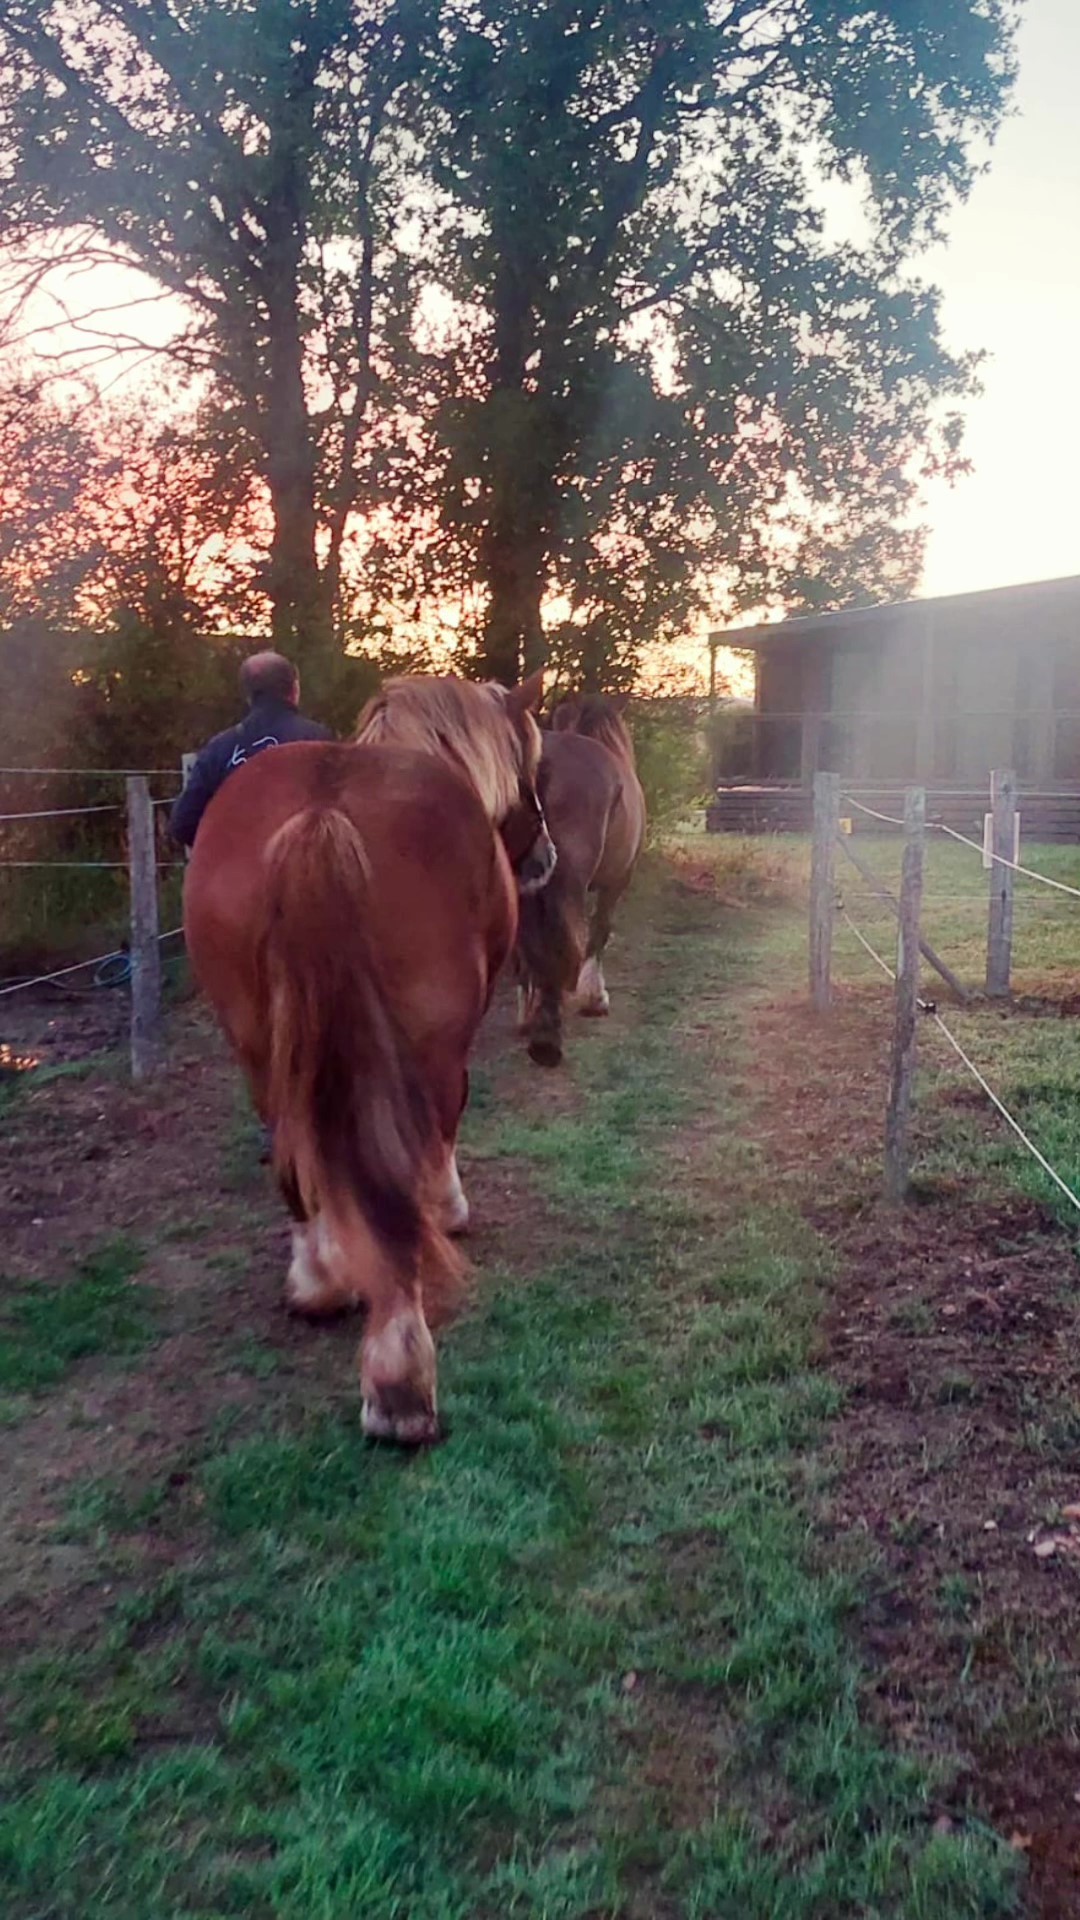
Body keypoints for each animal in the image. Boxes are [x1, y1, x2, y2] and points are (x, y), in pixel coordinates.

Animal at [183, 675, 549, 1443]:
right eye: (529, 767)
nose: (542, 860)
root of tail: (324, 813)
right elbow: (442, 1137)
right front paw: (452, 1210)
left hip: (261, 1050)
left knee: (295, 1163)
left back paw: (319, 1286)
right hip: (423, 1049)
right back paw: (401, 1384)